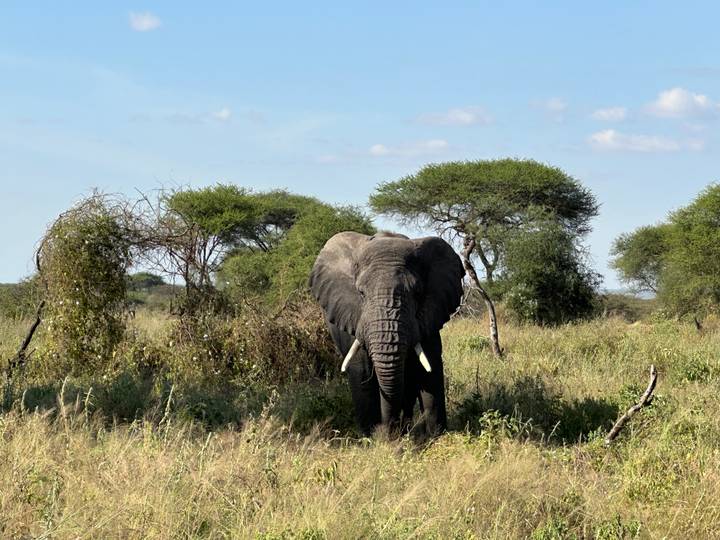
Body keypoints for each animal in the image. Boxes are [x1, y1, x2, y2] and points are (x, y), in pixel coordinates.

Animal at [309, 231, 464, 437]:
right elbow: (361, 372)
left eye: (417, 293)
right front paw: (372, 439)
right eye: (361, 293)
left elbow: (429, 369)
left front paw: (435, 438)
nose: (388, 431)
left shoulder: (429, 316)